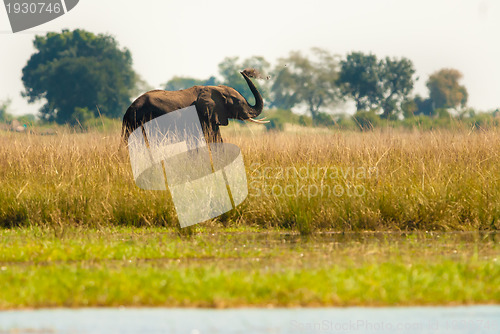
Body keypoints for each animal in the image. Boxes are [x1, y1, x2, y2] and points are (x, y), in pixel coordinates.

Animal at [121, 70, 268, 144]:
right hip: (140, 121)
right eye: (239, 103)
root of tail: (129, 109)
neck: (215, 89)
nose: (244, 71)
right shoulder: (202, 115)